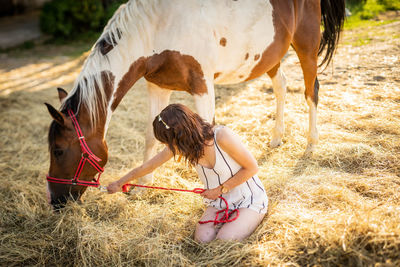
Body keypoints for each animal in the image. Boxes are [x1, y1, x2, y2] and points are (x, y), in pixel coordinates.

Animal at [45, 0, 346, 209]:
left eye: (58, 150)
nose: (56, 201)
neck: (156, 29)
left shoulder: (202, 85)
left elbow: (208, 133)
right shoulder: (157, 87)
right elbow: (150, 137)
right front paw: (142, 185)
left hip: (306, 43)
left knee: (311, 91)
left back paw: (311, 143)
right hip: (270, 55)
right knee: (281, 86)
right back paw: (276, 138)